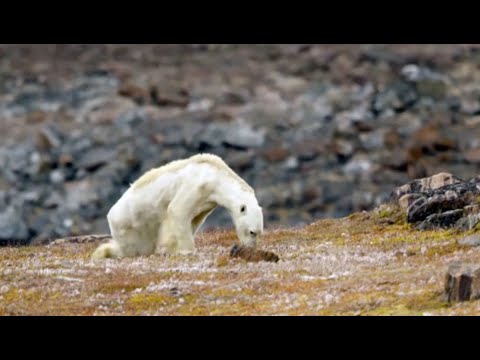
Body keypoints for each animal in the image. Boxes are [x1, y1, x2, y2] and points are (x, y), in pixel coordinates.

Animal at [92, 153, 264, 260]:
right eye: (252, 232)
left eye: (259, 232)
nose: (250, 249)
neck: (216, 175)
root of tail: (110, 215)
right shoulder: (197, 185)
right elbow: (177, 210)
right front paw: (187, 251)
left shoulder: (207, 202)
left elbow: (193, 220)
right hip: (132, 226)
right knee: (132, 249)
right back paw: (101, 253)